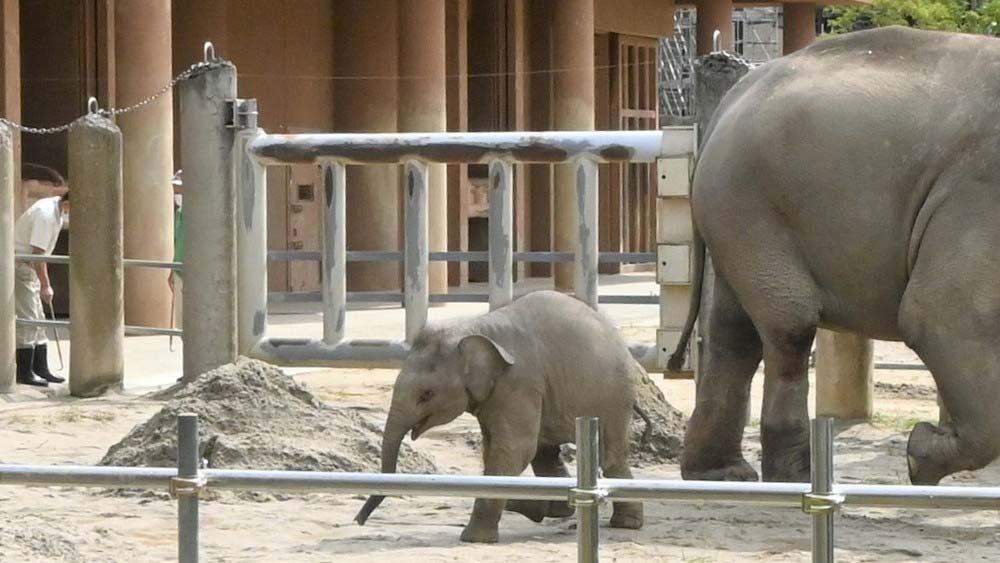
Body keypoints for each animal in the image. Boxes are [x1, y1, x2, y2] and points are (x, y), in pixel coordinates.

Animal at [356, 290, 644, 540]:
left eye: (427, 394)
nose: (358, 520)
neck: (476, 328)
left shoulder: (519, 383)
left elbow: (513, 449)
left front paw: (474, 539)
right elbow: (494, 446)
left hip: (613, 399)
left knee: (608, 455)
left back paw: (624, 523)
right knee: (545, 452)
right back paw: (558, 508)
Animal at [668, 25, 1000, 484]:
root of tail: (736, 95)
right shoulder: (980, 191)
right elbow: (939, 314)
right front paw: (918, 458)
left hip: (736, 217)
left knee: (733, 332)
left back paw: (721, 474)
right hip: (751, 208)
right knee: (789, 327)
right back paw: (795, 477)